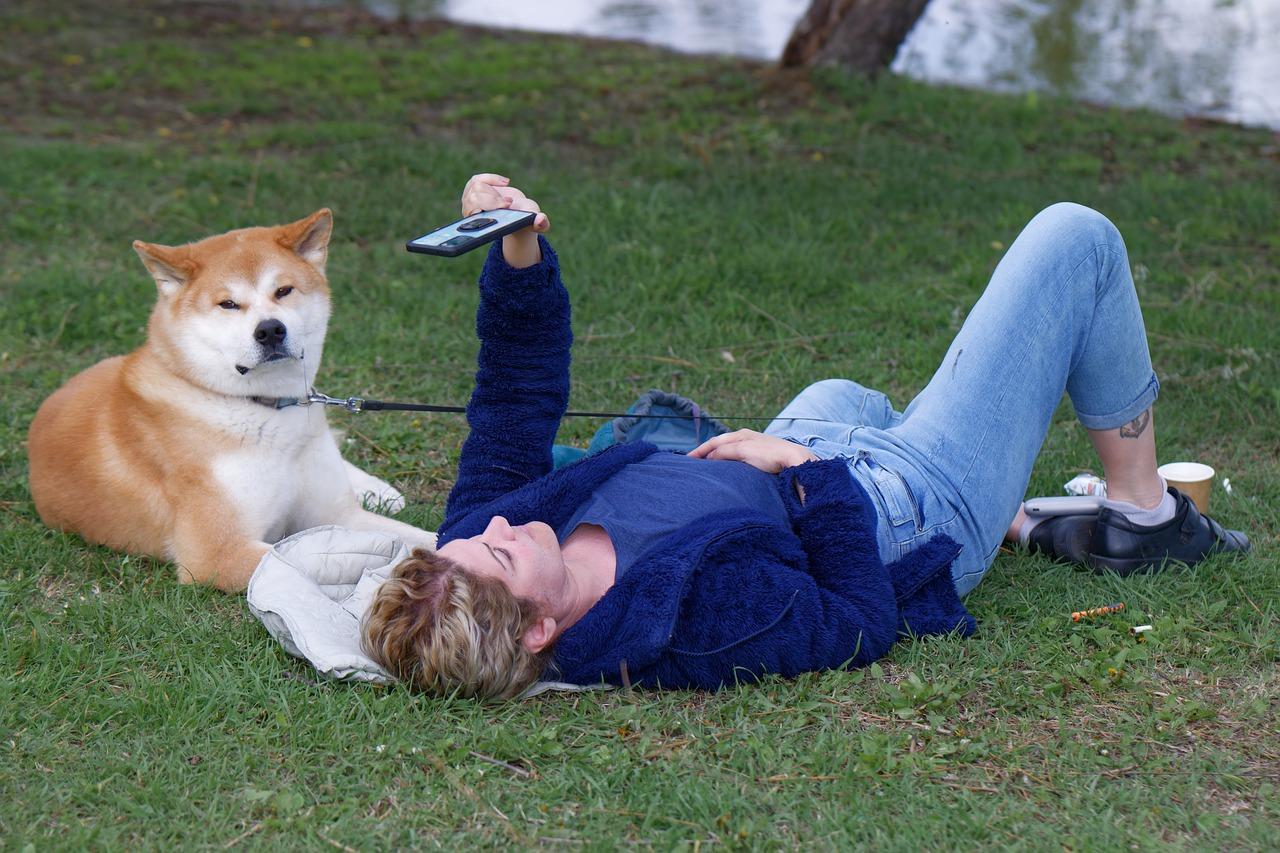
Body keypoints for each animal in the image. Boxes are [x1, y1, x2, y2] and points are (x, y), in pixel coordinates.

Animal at [27, 208, 437, 589]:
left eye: (283, 291)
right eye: (228, 304)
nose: (270, 330)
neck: (265, 407)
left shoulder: (339, 513)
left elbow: (423, 538)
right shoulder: (217, 554)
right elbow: (324, 558)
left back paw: (377, 488)